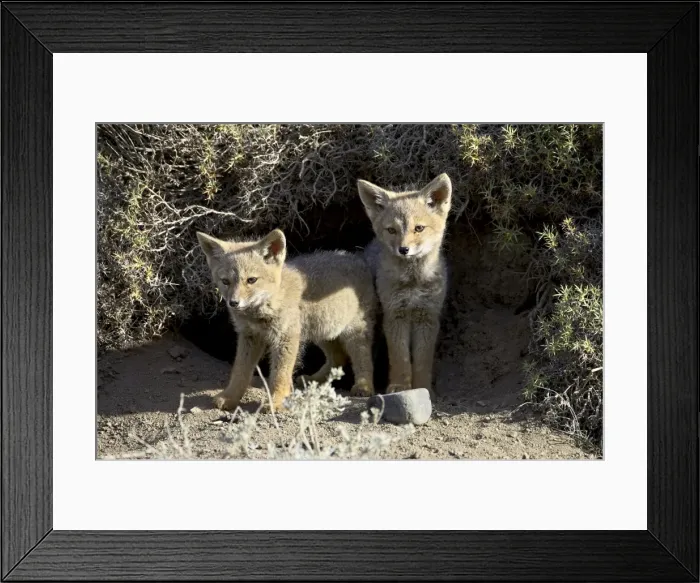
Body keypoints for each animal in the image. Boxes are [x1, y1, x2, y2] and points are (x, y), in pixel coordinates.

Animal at [196, 228, 376, 412]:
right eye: (225, 281)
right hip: (321, 330)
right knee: (339, 357)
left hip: (352, 332)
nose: (233, 303)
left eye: (251, 280)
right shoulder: (249, 337)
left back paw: (363, 386)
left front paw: (276, 401)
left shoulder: (285, 337)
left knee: (363, 357)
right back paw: (314, 380)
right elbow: (240, 371)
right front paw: (230, 397)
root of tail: (357, 257)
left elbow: (280, 374)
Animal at [357, 173, 453, 401]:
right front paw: (400, 386)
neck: (413, 283)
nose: (403, 249)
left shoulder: (427, 316)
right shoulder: (395, 316)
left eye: (418, 228)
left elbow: (422, 362)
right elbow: (400, 358)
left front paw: (423, 388)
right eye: (392, 230)